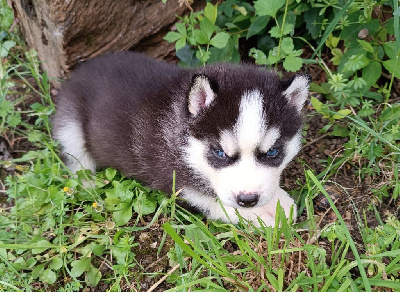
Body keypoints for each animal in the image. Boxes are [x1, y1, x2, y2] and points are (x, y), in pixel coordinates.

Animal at [52, 52, 310, 226]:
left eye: (272, 152)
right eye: (219, 153)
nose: (248, 200)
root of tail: (80, 71)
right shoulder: (175, 180)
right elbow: (214, 201)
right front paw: (263, 212)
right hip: (70, 123)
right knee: (75, 159)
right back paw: (88, 184)